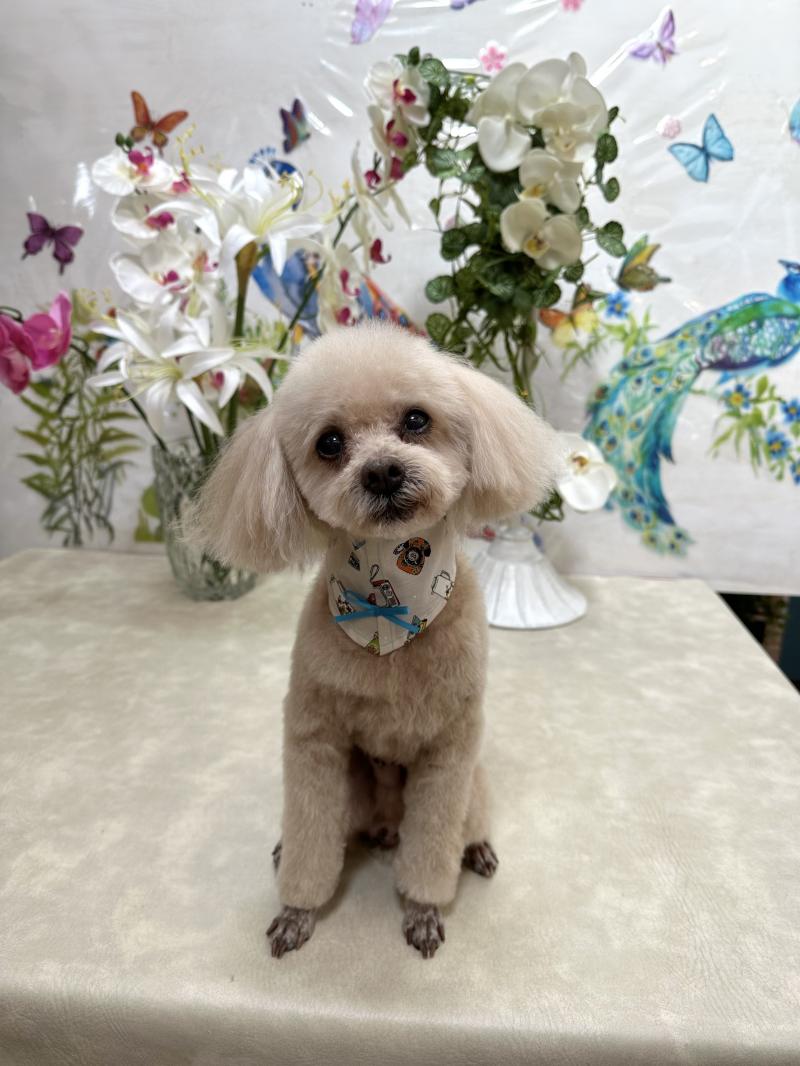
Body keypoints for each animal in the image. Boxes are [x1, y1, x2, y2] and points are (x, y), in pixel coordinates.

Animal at [188, 322, 561, 958]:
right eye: (330, 443)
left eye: (415, 420)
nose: (383, 471)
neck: (390, 612)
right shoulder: (314, 739)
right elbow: (312, 839)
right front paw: (297, 910)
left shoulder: (449, 752)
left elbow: (432, 847)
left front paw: (423, 910)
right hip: (355, 787)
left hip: (473, 783)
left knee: (465, 824)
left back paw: (477, 850)